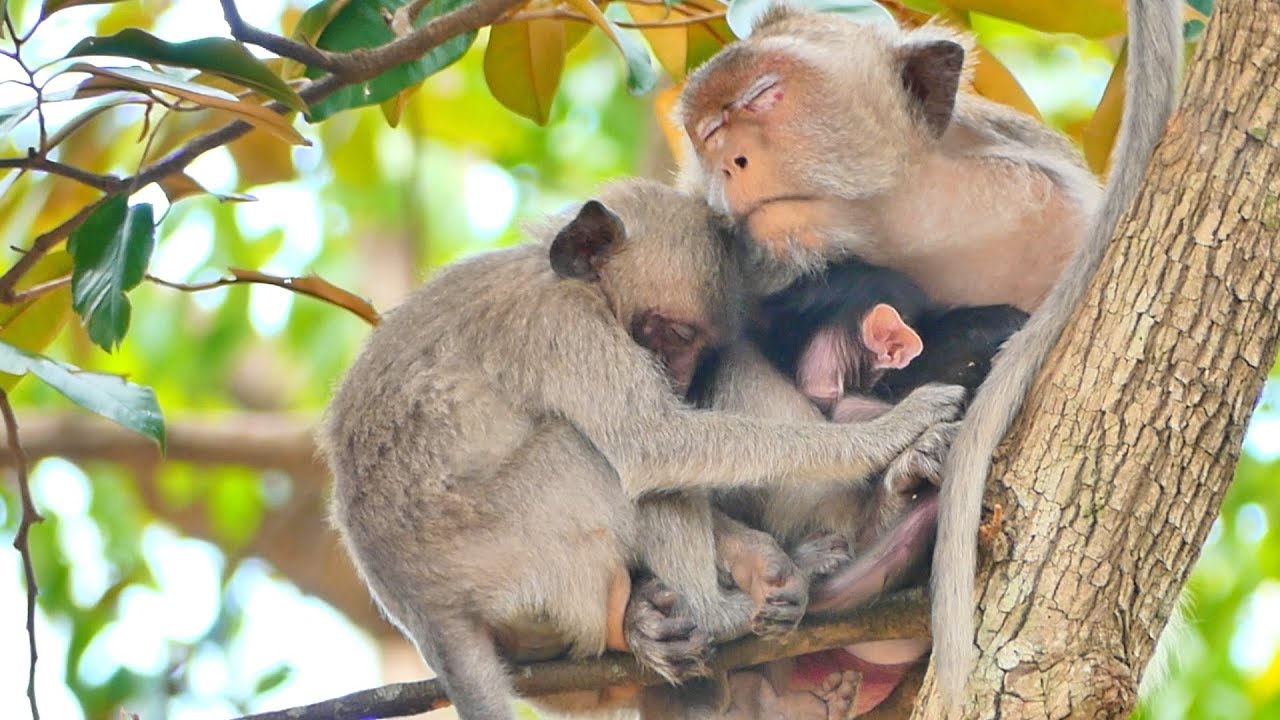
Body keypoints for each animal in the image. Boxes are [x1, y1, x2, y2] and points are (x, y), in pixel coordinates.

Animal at [321, 179, 967, 720]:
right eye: (676, 333)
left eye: (695, 344)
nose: (677, 376)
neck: (575, 282)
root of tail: (422, 605)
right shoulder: (566, 326)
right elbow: (654, 446)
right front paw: (892, 430)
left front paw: (763, 560)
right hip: (505, 542)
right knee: (591, 452)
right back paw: (718, 614)